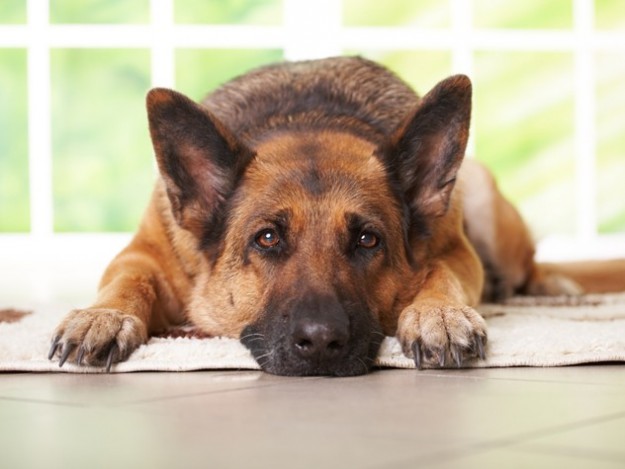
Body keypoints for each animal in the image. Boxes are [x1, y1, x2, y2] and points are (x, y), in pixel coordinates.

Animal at [45, 55, 624, 376]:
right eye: (267, 238)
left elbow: (442, 275)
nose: (322, 342)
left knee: (528, 266)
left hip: (480, 191)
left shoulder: (455, 251)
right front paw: (102, 315)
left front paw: (438, 314)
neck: (308, 115)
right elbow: (129, 278)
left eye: (368, 240)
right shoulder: (143, 251)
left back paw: (554, 287)